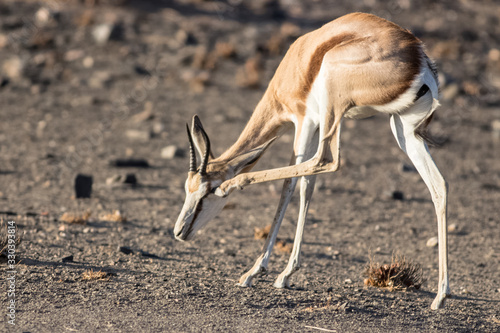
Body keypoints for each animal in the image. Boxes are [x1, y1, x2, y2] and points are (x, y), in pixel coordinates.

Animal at [173, 13, 450, 308]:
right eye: (187, 189)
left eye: (208, 191)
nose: (179, 232)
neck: (295, 66)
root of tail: (418, 56)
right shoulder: (314, 124)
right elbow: (307, 186)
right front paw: (285, 274)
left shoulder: (303, 120)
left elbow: (290, 186)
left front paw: (255, 272)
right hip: (402, 129)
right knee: (439, 186)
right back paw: (440, 296)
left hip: (336, 107)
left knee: (326, 159)